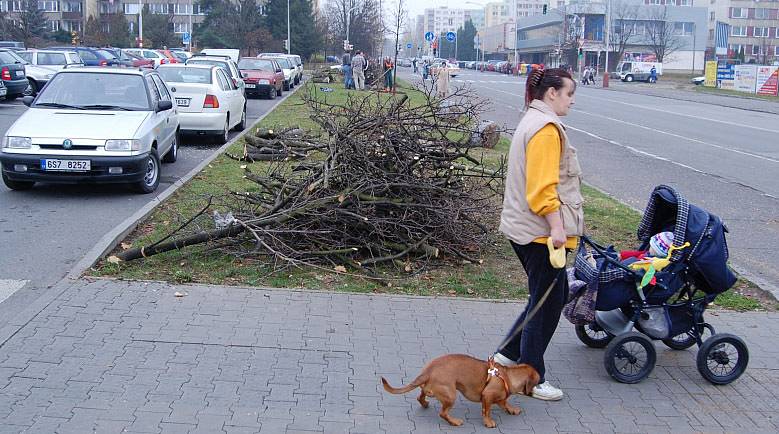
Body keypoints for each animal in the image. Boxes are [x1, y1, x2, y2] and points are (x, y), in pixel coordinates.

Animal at [380, 356, 540, 428]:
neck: (507, 375)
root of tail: (428, 371)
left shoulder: (500, 398)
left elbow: (505, 402)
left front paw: (512, 409)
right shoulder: (487, 396)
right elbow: (486, 410)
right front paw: (488, 422)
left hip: (429, 388)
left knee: (421, 396)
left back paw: (425, 404)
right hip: (451, 395)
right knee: (443, 413)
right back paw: (454, 421)